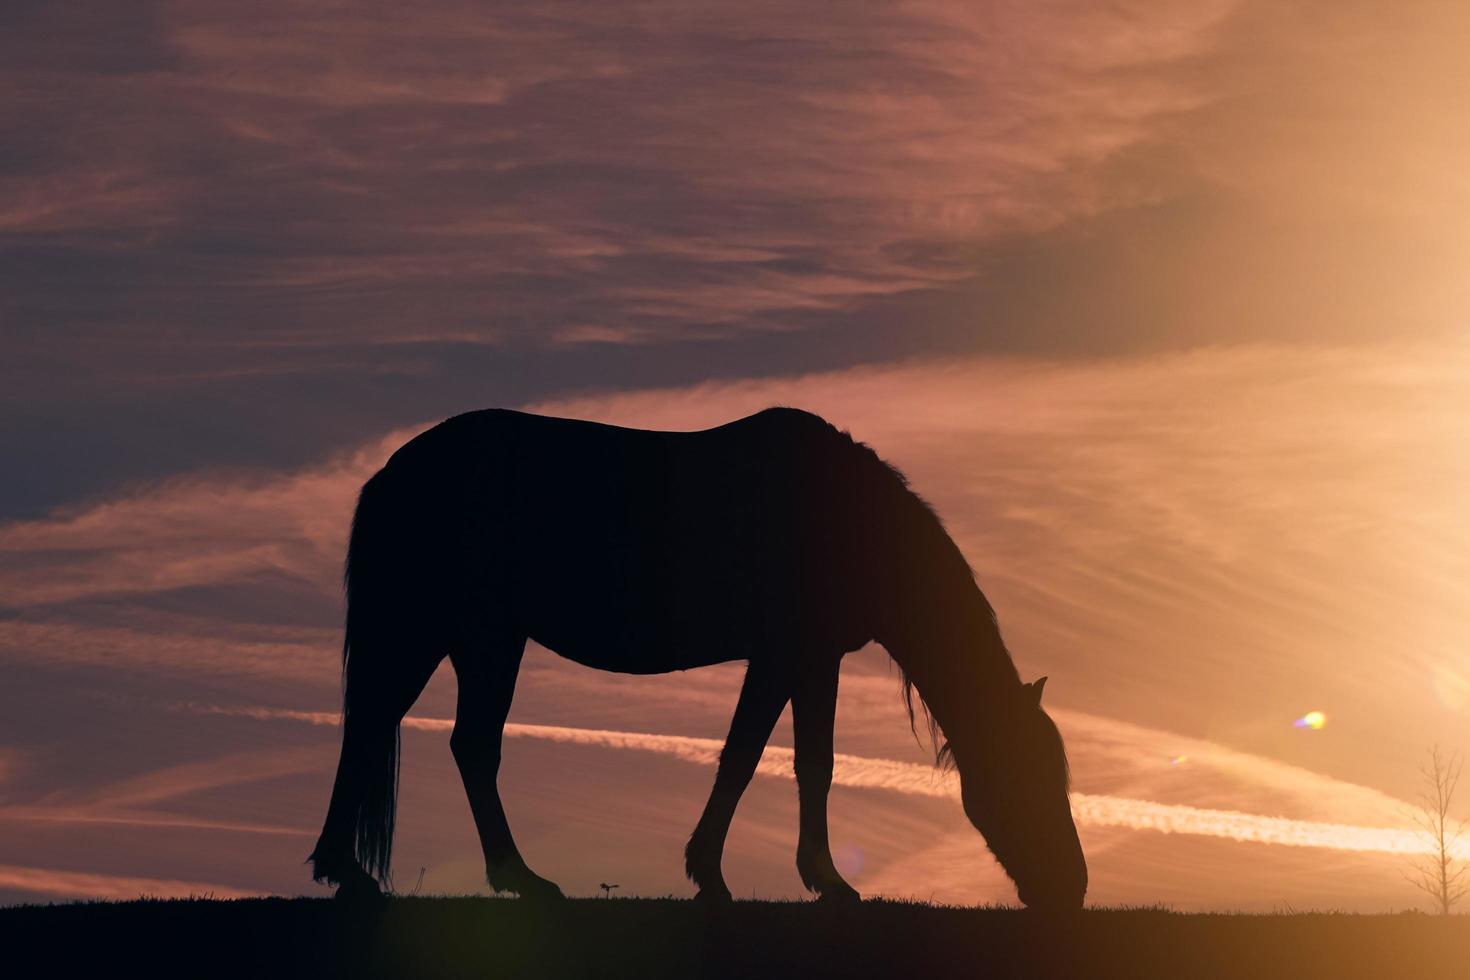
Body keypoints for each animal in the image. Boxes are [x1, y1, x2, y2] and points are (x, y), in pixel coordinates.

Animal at [310, 408, 1087, 910]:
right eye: (1030, 776)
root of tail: (392, 471)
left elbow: (796, 761)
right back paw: (492, 878)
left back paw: (368, 871)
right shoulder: (786, 655)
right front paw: (744, 877)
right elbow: (761, 758)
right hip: (461, 634)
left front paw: (791, 876)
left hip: (469, 638)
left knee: (407, 733)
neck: (849, 522)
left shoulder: (807, 659)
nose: (1073, 891)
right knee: (433, 739)